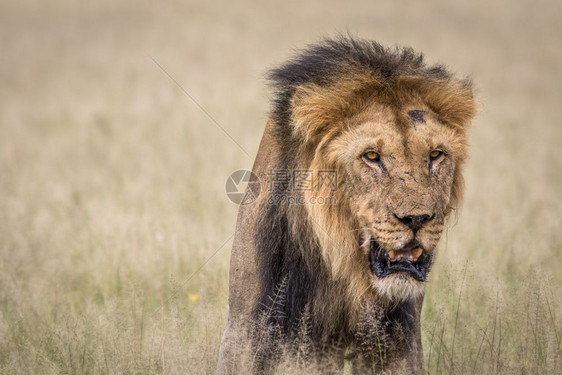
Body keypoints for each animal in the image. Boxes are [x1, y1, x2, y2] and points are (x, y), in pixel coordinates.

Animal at [217, 36, 474, 374]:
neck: (345, 272)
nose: (417, 219)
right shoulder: (246, 328)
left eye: (435, 155)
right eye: (371, 156)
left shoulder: (401, 339)